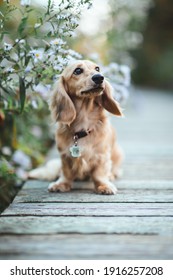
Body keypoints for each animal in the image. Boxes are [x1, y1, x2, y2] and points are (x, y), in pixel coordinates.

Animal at [28, 59, 123, 195]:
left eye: (97, 68)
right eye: (77, 70)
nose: (99, 77)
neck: (83, 127)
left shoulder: (101, 156)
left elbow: (99, 173)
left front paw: (104, 186)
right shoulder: (65, 156)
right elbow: (66, 172)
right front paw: (62, 184)